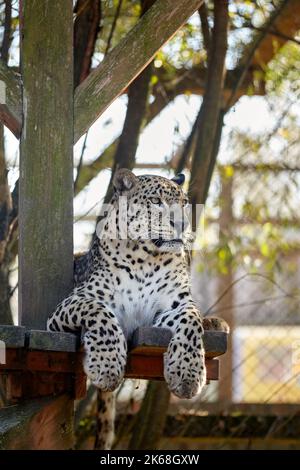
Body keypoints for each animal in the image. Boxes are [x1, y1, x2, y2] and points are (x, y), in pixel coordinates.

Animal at [46, 169, 227, 448]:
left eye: (184, 203)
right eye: (155, 201)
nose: (182, 225)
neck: (145, 259)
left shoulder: (176, 304)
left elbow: (191, 322)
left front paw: (187, 374)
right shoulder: (75, 301)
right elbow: (101, 314)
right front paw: (107, 365)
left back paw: (216, 323)